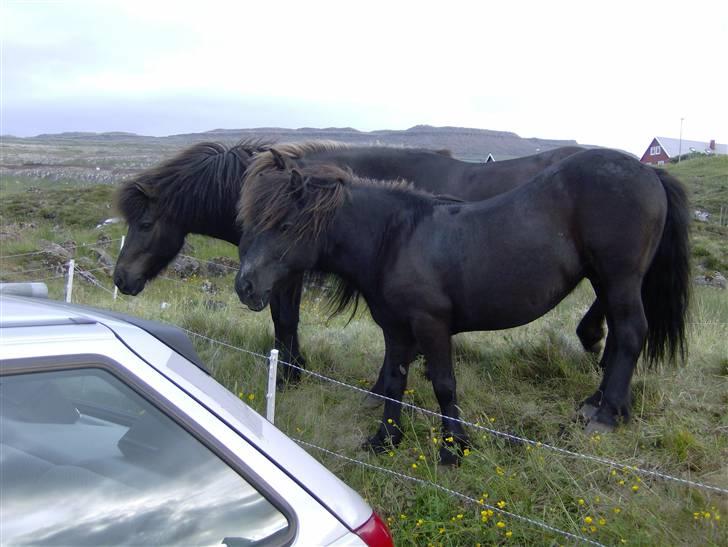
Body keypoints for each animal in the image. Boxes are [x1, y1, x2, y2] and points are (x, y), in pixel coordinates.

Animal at [236, 150, 692, 462]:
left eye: (284, 225)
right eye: (251, 221)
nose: (245, 286)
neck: (396, 239)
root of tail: (648, 171)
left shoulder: (431, 325)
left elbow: (443, 384)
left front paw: (453, 447)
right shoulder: (395, 328)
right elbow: (395, 382)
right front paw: (386, 439)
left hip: (619, 277)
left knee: (629, 333)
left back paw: (607, 414)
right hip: (606, 280)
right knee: (616, 335)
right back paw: (599, 403)